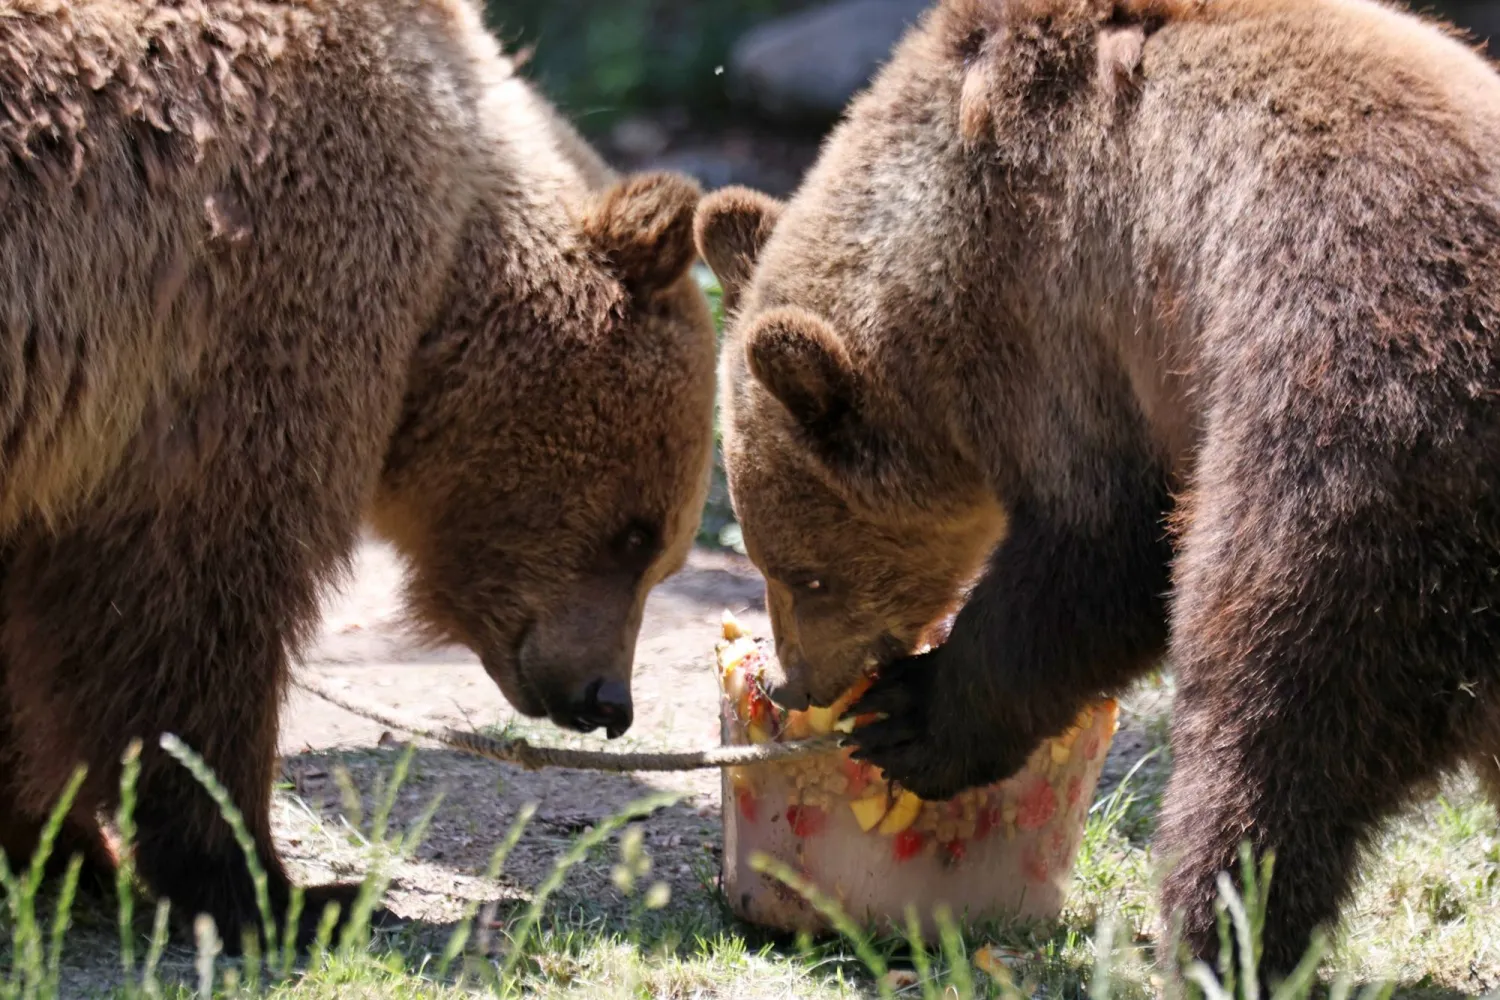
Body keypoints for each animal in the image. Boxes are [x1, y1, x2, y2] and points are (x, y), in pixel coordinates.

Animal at [0, 0, 717, 951]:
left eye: (662, 553)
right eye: (636, 534)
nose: (608, 702)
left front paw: (54, 845)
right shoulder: (249, 306)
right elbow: (187, 609)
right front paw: (276, 889)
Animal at [696, 0, 1500, 980]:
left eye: (804, 572)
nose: (795, 684)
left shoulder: (1079, 311)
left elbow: (1105, 544)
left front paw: (912, 716)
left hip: (1358, 448)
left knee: (1264, 726)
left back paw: (1216, 946)